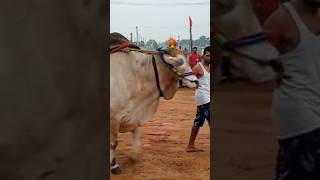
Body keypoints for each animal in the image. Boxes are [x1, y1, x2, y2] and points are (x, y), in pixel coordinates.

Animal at [110, 45, 198, 173]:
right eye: (180, 61)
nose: (196, 81)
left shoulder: (134, 115)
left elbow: (136, 133)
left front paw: (133, 156)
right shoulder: (114, 117)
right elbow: (113, 143)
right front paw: (114, 165)